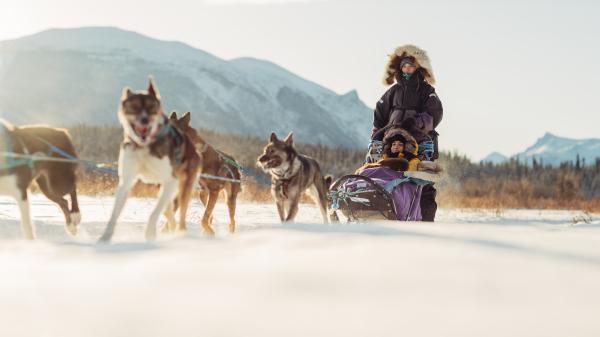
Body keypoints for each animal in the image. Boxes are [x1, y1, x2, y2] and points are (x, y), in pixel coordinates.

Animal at [99, 79, 202, 242]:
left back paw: (180, 232)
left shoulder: (170, 181)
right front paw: (105, 237)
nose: (144, 120)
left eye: (151, 107)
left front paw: (151, 233)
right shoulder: (127, 181)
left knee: (181, 214)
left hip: (184, 186)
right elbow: (115, 213)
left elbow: (158, 212)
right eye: (134, 107)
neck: (144, 145)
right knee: (170, 210)